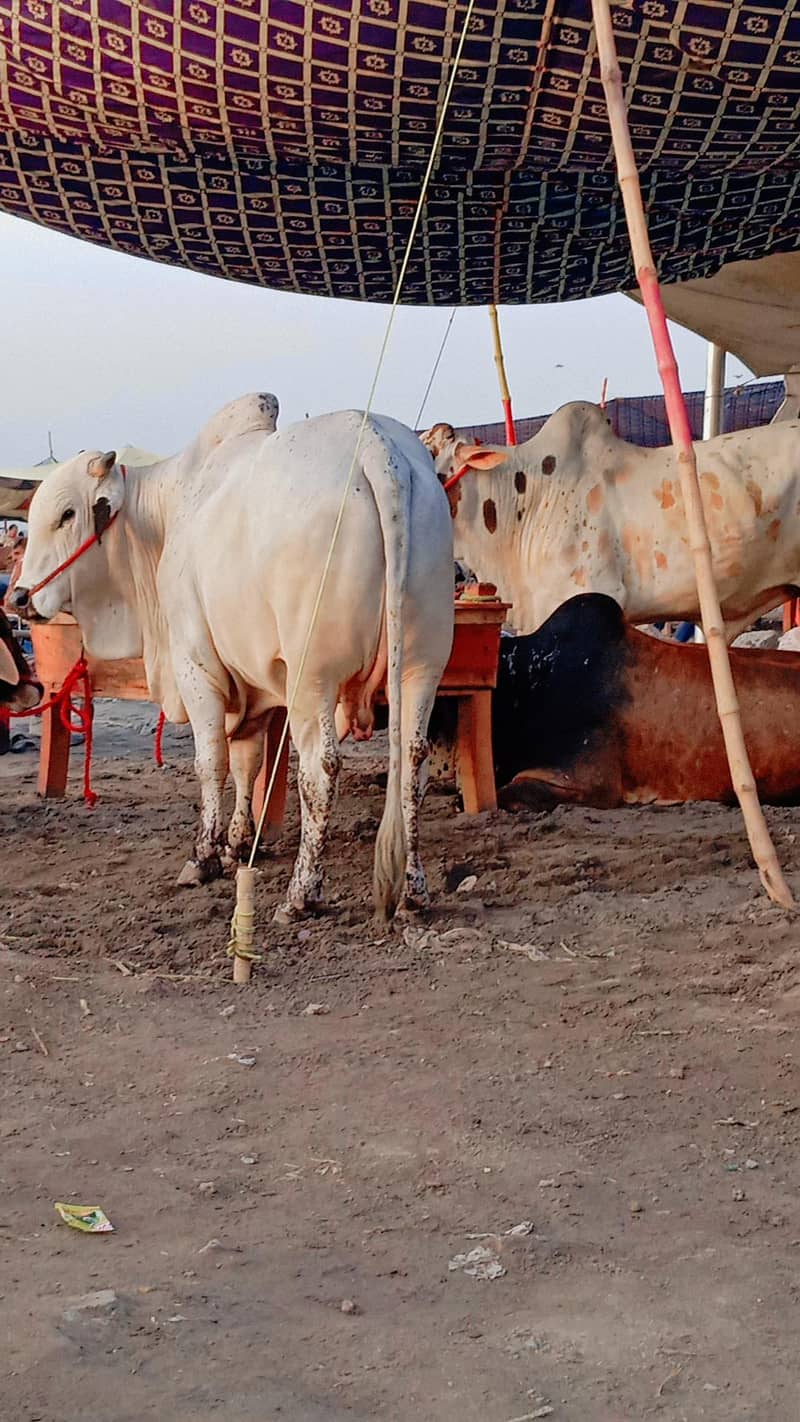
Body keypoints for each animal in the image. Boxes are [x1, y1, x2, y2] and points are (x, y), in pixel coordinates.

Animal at [14, 396, 454, 921]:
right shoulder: (255, 687)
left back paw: (301, 893)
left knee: (321, 769)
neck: (166, 514)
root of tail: (376, 447)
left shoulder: (196, 669)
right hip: (422, 665)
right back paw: (414, 889)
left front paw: (204, 857)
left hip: (313, 676)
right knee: (413, 759)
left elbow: (212, 763)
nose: (18, 598)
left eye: (66, 514)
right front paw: (240, 843)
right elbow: (248, 762)